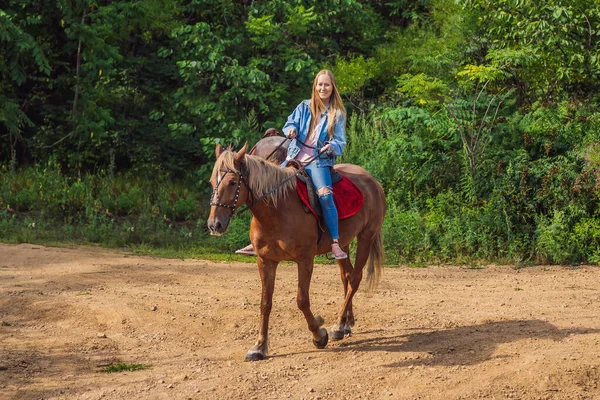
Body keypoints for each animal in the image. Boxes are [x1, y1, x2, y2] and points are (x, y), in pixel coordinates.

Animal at [207, 145, 384, 362]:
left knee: (355, 278)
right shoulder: (266, 261)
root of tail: (372, 181)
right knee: (347, 276)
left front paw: (319, 335)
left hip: (366, 237)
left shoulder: (305, 260)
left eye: (232, 182)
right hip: (343, 245)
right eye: (212, 182)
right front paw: (259, 346)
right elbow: (265, 303)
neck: (277, 210)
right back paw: (345, 324)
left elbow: (302, 300)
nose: (214, 224)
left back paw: (337, 326)